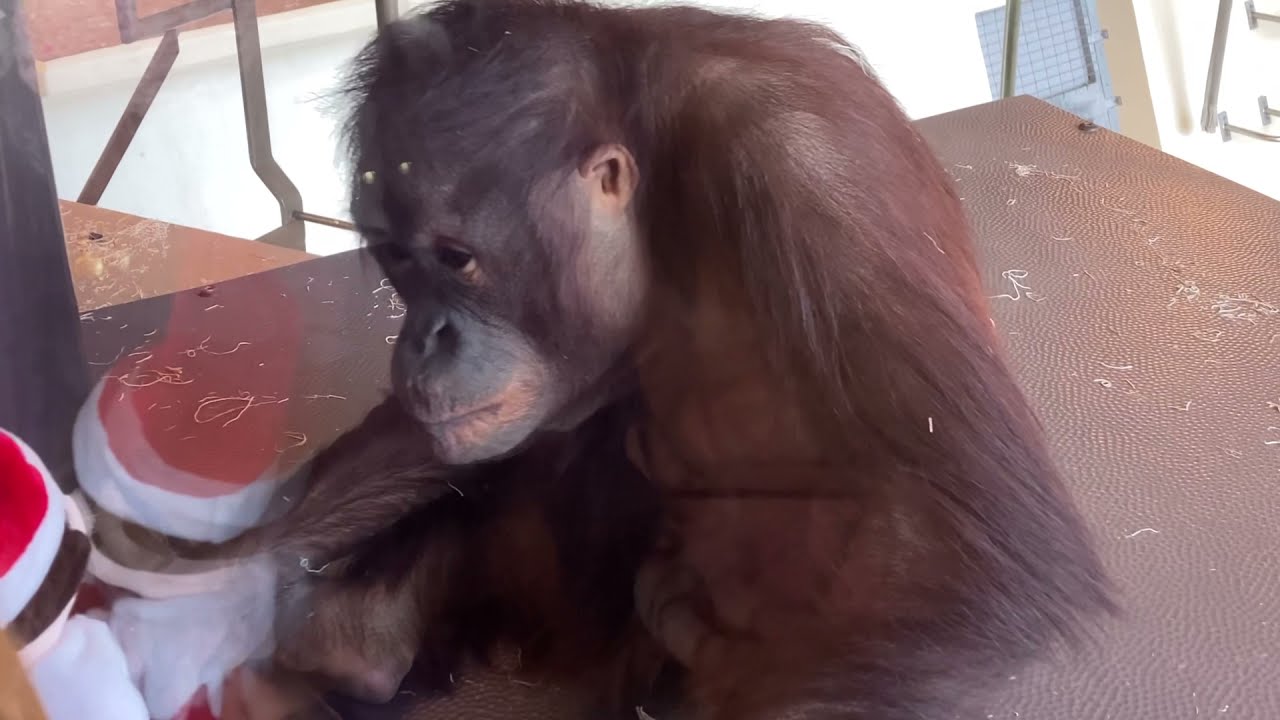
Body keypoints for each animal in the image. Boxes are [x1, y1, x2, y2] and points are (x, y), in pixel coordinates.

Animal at [196, 1, 1116, 718]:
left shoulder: (813, 166)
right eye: (396, 260)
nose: (424, 335)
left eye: (456, 258)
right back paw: (356, 644)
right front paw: (221, 580)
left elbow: (949, 553)